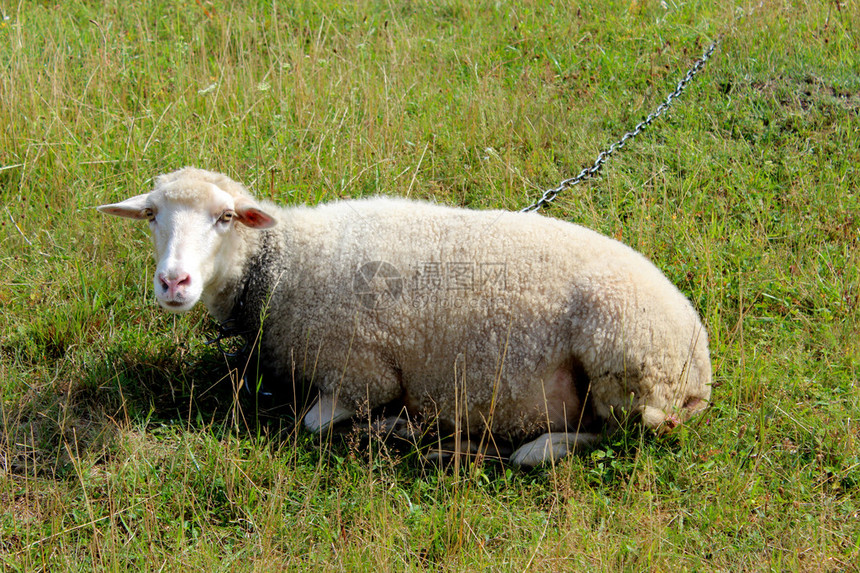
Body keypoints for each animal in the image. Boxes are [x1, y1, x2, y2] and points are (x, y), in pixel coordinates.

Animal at [99, 165, 712, 464]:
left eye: (225, 217)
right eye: (151, 215)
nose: (173, 282)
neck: (283, 266)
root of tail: (700, 369)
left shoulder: (360, 374)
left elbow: (314, 422)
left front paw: (387, 425)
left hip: (625, 364)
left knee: (617, 434)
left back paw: (522, 447)